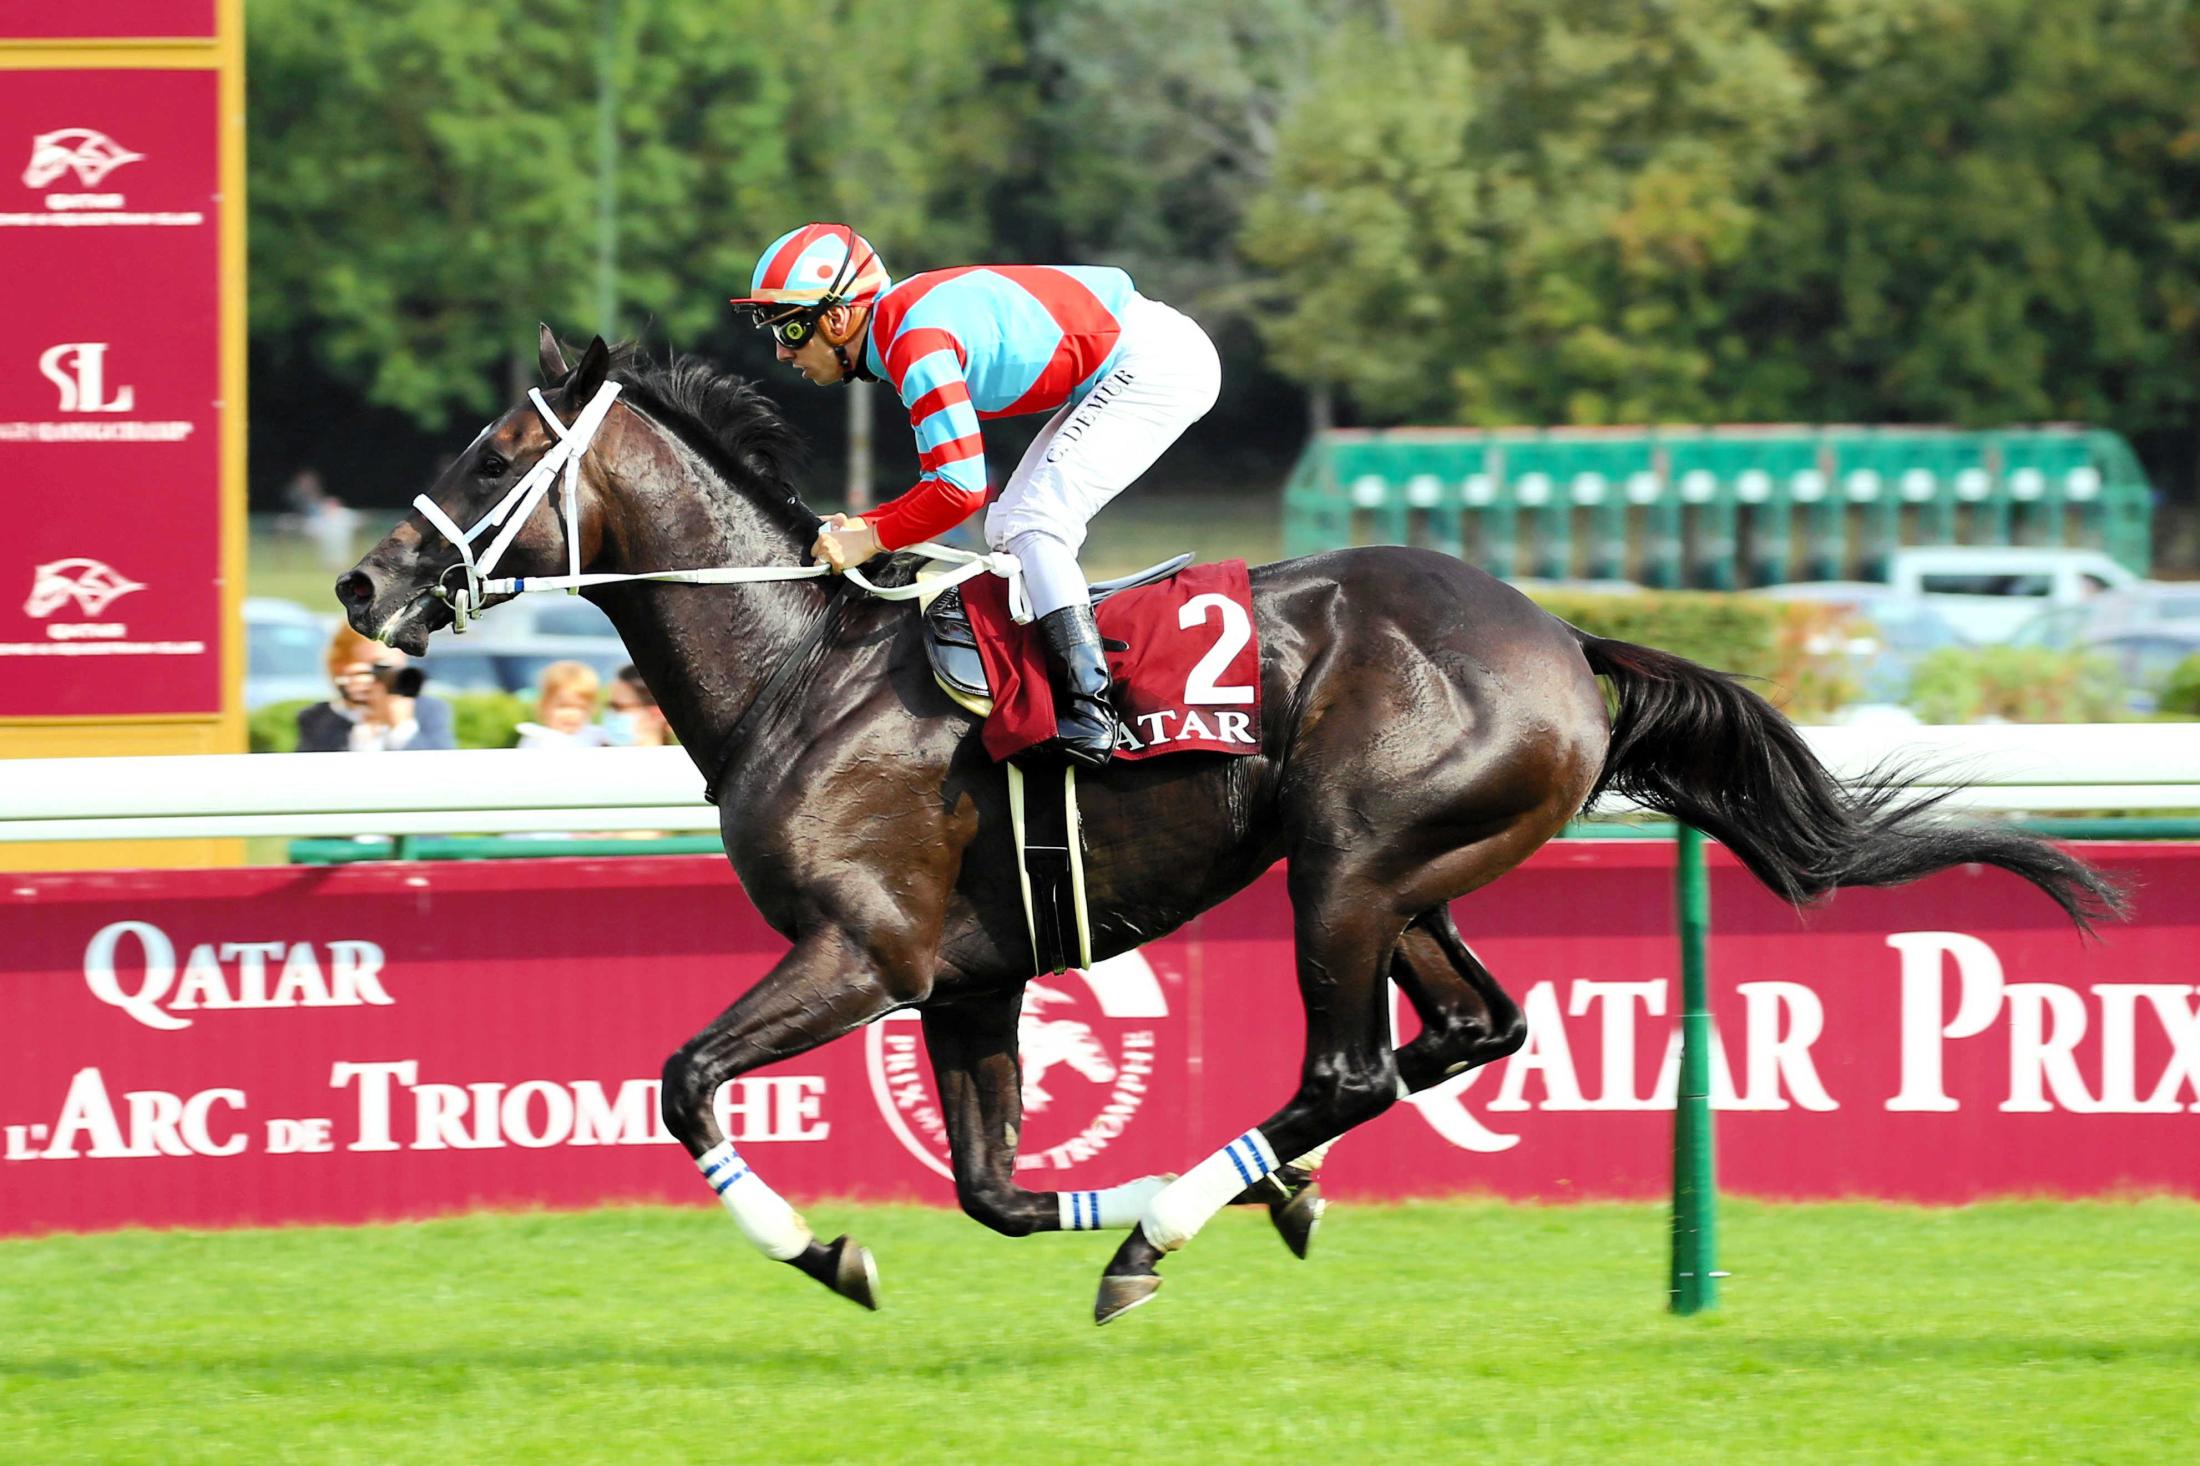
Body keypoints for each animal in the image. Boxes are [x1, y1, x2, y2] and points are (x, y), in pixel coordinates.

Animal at [334, 334, 2120, 1320]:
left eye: (496, 451)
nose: (358, 585)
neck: (804, 669)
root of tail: (1561, 634)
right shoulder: (974, 981)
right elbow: (993, 1186)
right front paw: (1152, 1201)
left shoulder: (864, 953)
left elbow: (684, 1078)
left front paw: (828, 1250)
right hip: (1414, 877)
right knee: (1467, 1028)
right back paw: (1255, 1192)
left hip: (1345, 862)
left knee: (1353, 1062)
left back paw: (1168, 1234)